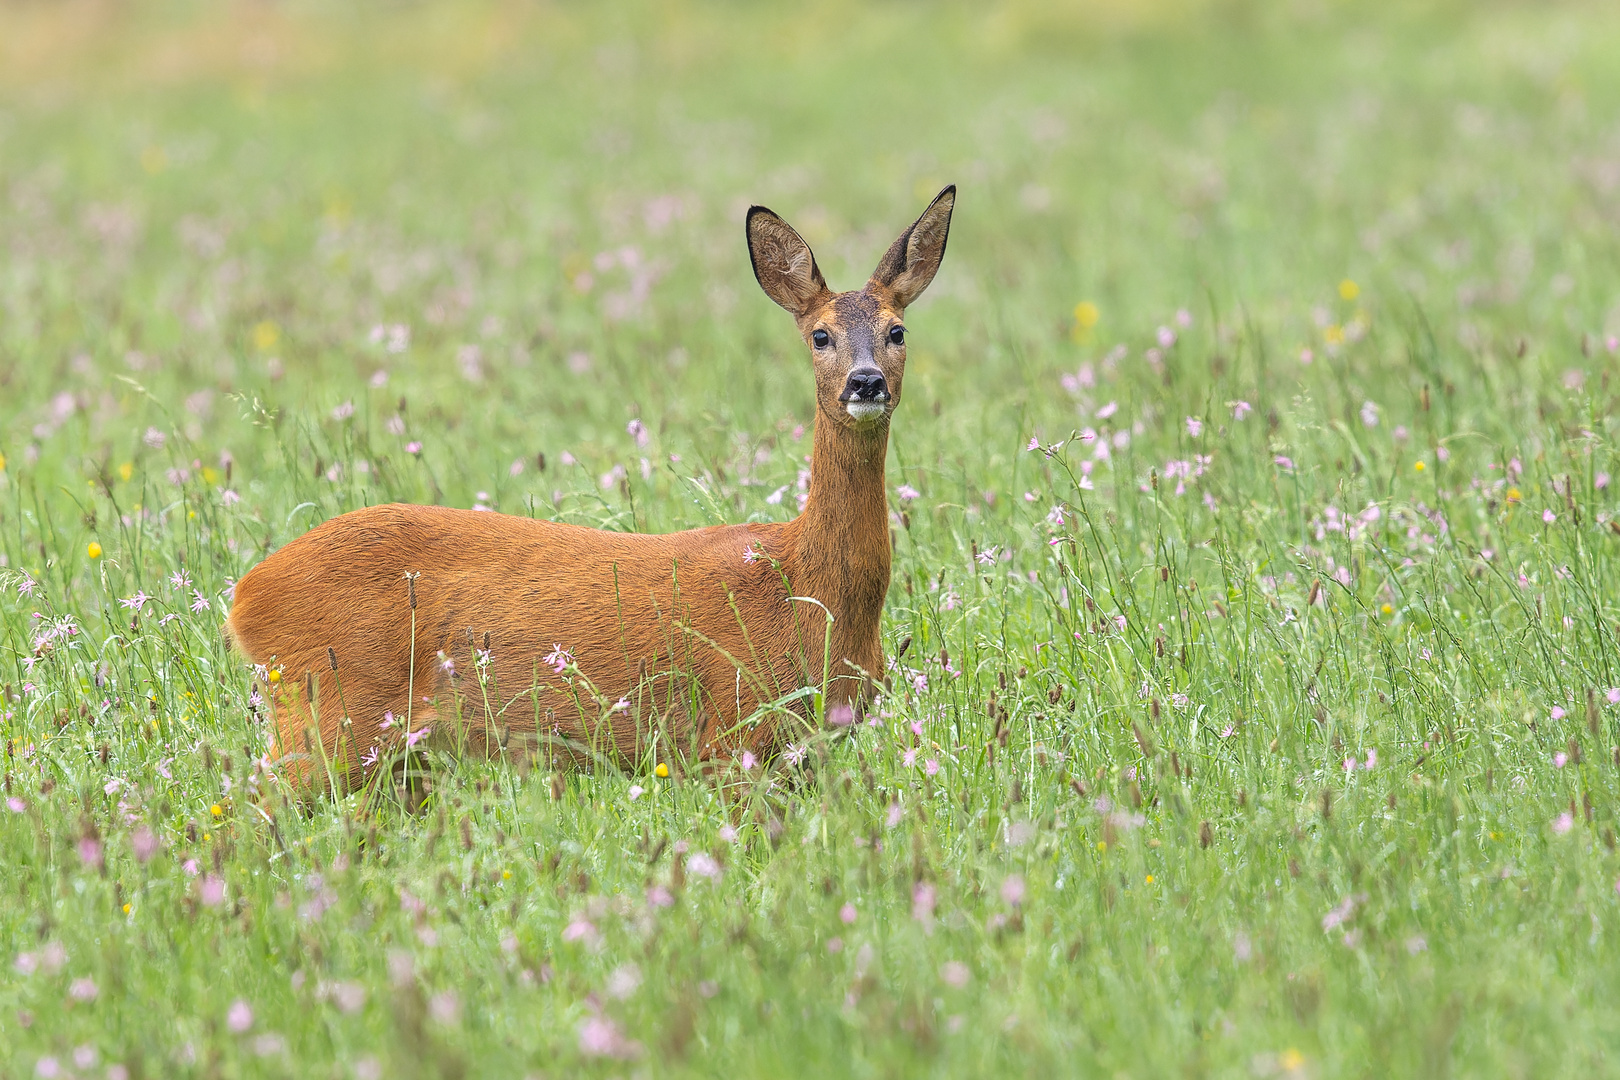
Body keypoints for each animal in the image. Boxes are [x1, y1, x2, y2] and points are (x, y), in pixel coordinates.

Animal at [231, 186, 959, 790]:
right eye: (820, 335)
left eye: (897, 330)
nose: (866, 381)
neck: (808, 590)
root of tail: (243, 597)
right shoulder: (732, 730)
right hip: (327, 718)